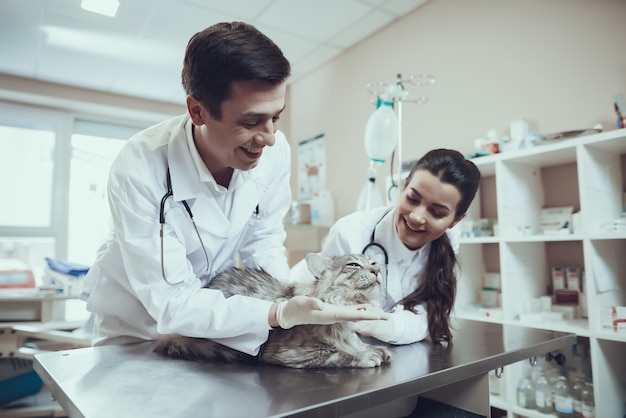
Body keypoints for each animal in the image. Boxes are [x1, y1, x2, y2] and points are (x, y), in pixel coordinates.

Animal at [155, 253, 390, 368]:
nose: (377, 270)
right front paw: (366, 356)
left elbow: (356, 345)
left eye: (373, 262)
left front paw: (372, 349)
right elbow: (339, 354)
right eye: (354, 265)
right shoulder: (293, 354)